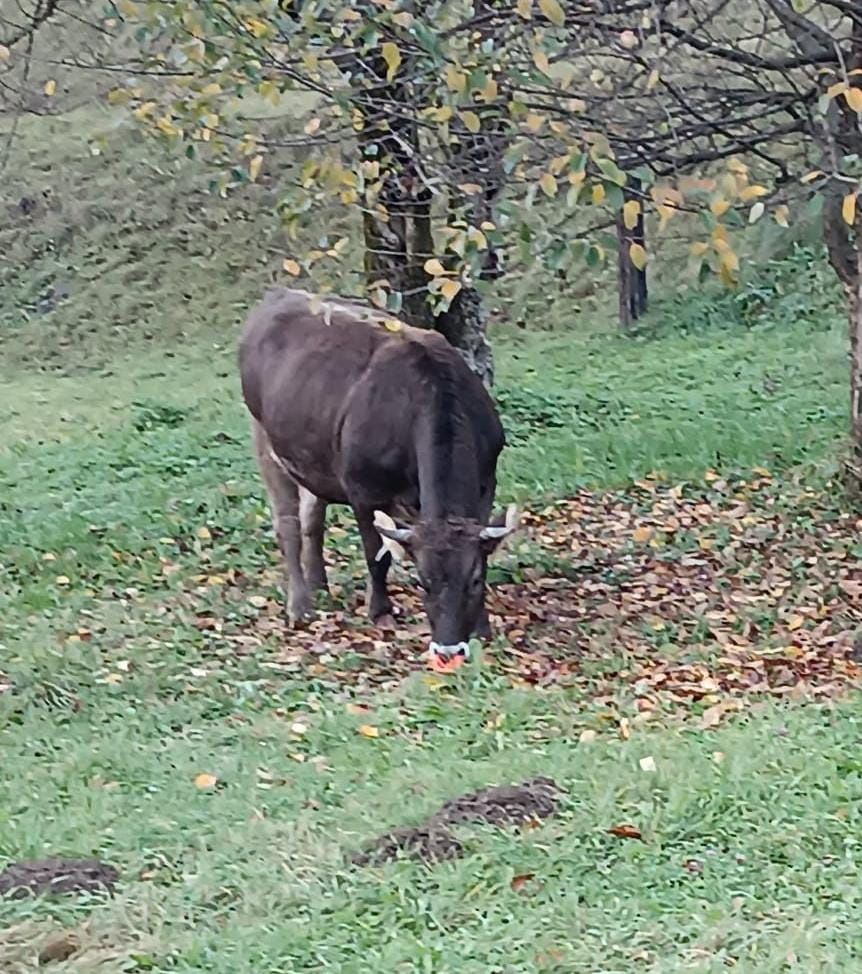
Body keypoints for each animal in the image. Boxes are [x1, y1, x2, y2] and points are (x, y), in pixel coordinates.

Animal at [238, 288, 520, 664]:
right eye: (423, 582)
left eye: (472, 581)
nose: (447, 650)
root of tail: (282, 293)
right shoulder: (363, 491)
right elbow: (377, 553)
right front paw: (381, 610)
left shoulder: (486, 482)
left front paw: (482, 626)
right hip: (265, 439)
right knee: (288, 525)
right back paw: (300, 606)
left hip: (312, 455)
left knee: (312, 516)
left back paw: (319, 583)